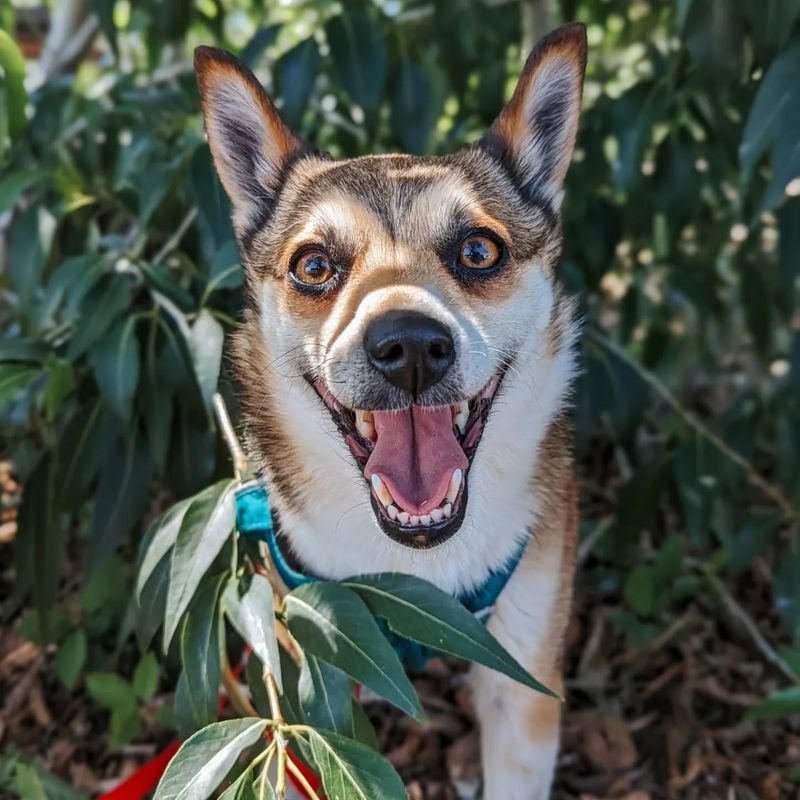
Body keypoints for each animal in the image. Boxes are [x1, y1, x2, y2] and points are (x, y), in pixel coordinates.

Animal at [196, 21, 588, 796]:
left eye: (478, 250)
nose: (407, 345)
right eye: (314, 266)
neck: (419, 570)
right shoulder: (317, 661)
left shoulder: (524, 685)